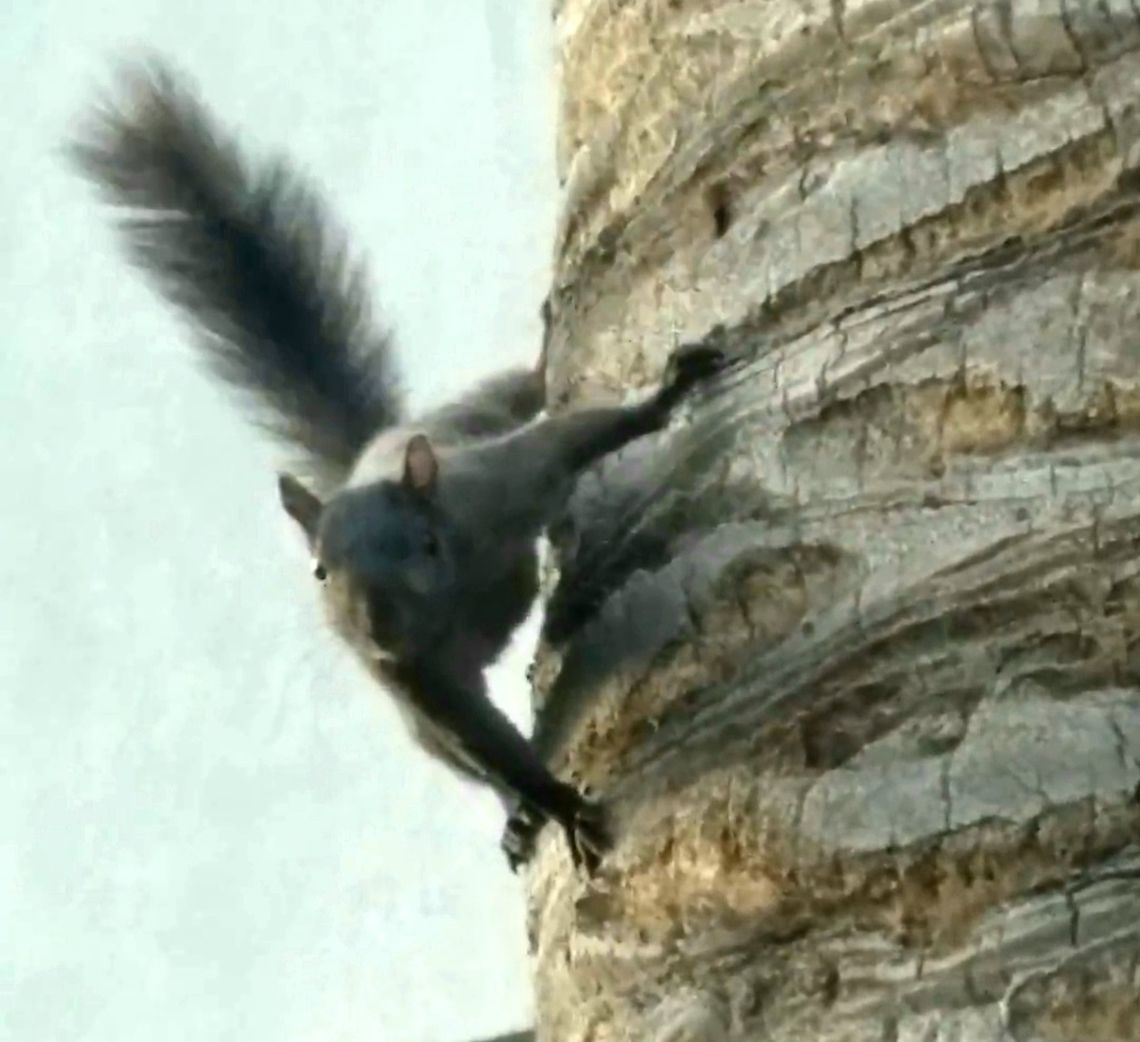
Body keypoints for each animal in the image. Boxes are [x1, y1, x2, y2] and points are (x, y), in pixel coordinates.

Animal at [67, 57, 726, 873]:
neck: (453, 606)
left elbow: (572, 437)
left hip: (474, 413)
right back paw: (514, 819)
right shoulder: (420, 685)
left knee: (522, 392)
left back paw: (543, 362)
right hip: (416, 721)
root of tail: (369, 451)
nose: (377, 625)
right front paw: (558, 805)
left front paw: (663, 395)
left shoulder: (498, 489)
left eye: (425, 544)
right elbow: (488, 745)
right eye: (320, 573)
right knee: (460, 759)